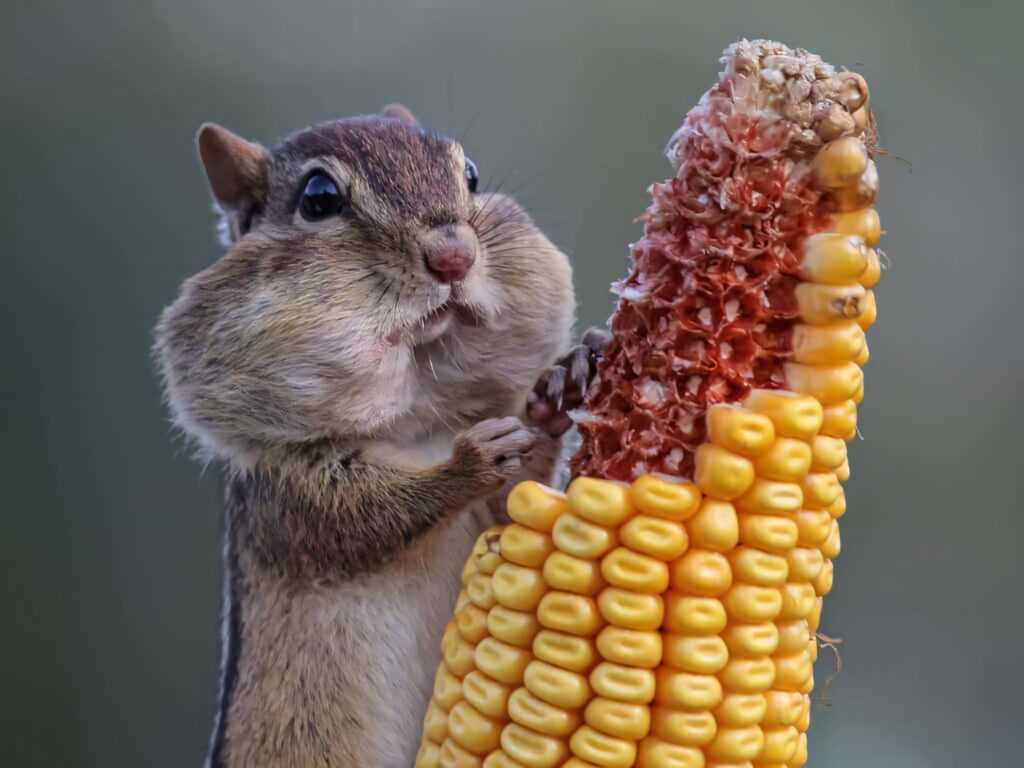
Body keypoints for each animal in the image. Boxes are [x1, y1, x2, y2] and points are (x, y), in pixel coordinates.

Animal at [154, 103, 608, 768]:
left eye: (471, 175)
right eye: (319, 198)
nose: (454, 256)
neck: (417, 424)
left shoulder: (496, 513)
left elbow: (516, 501)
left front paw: (562, 380)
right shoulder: (284, 497)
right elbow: (365, 517)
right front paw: (470, 462)